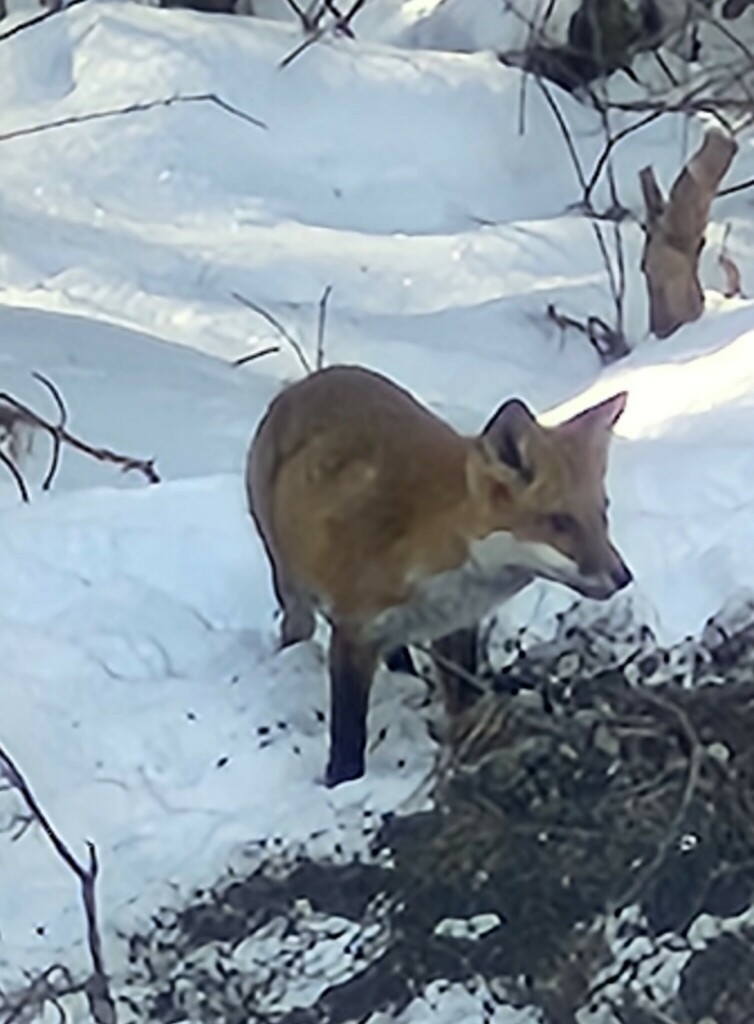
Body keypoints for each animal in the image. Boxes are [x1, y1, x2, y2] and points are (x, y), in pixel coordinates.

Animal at [247, 364, 631, 786]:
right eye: (559, 522)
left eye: (603, 515)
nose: (623, 577)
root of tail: (313, 379)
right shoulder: (353, 632)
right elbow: (348, 737)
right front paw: (341, 784)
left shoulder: (456, 627)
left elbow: (463, 703)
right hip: (292, 587)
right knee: (295, 628)